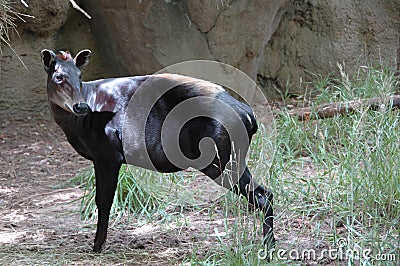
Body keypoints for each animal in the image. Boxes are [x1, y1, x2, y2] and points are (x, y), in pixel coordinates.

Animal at [40, 48, 276, 252]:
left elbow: (103, 200)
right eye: (58, 76)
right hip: (232, 158)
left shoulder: (107, 155)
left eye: (80, 76)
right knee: (266, 192)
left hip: (220, 160)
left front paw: (97, 246)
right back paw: (269, 246)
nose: (80, 106)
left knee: (261, 195)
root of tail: (248, 115)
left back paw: (267, 248)